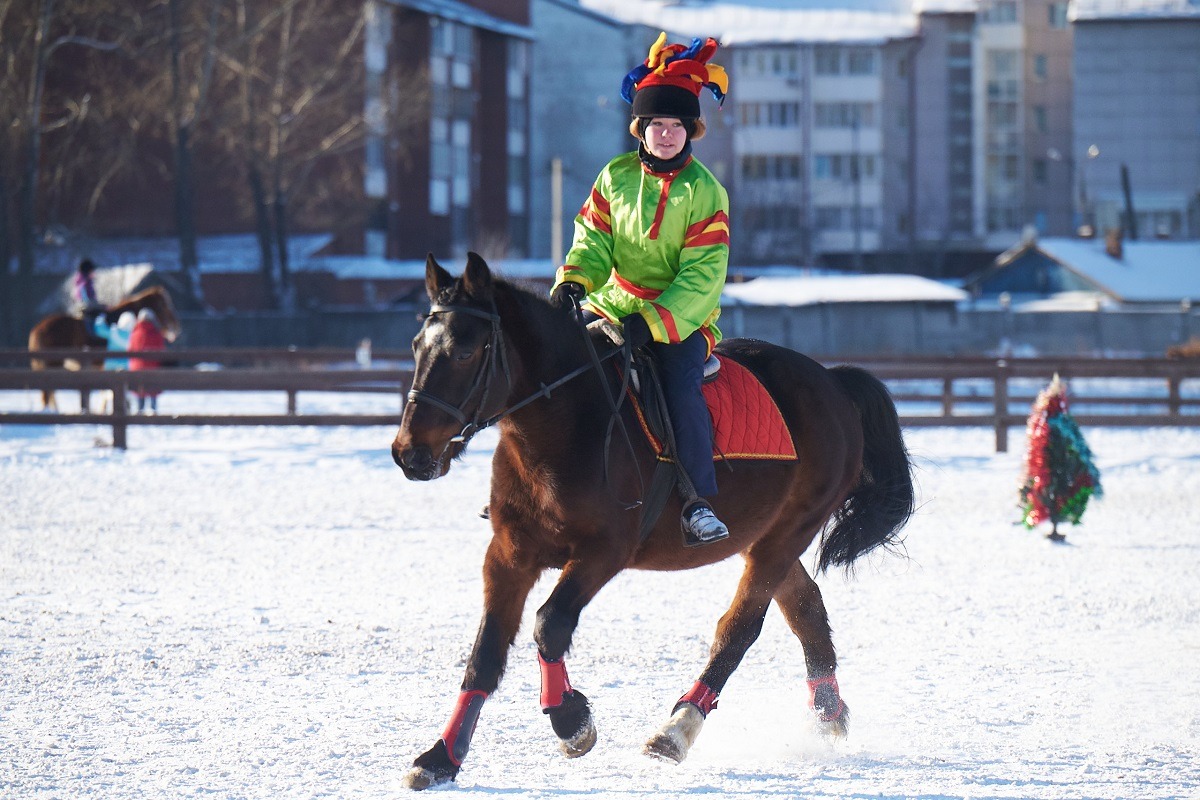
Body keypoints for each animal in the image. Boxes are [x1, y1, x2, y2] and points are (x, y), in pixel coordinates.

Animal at [388, 253, 912, 791]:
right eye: (416, 346)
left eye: (466, 351)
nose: (410, 453)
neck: (565, 424)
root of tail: (833, 383)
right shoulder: (509, 554)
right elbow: (485, 653)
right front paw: (441, 757)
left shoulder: (604, 550)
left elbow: (549, 625)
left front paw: (571, 719)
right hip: (764, 535)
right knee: (806, 608)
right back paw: (829, 712)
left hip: (787, 534)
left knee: (739, 628)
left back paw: (677, 729)